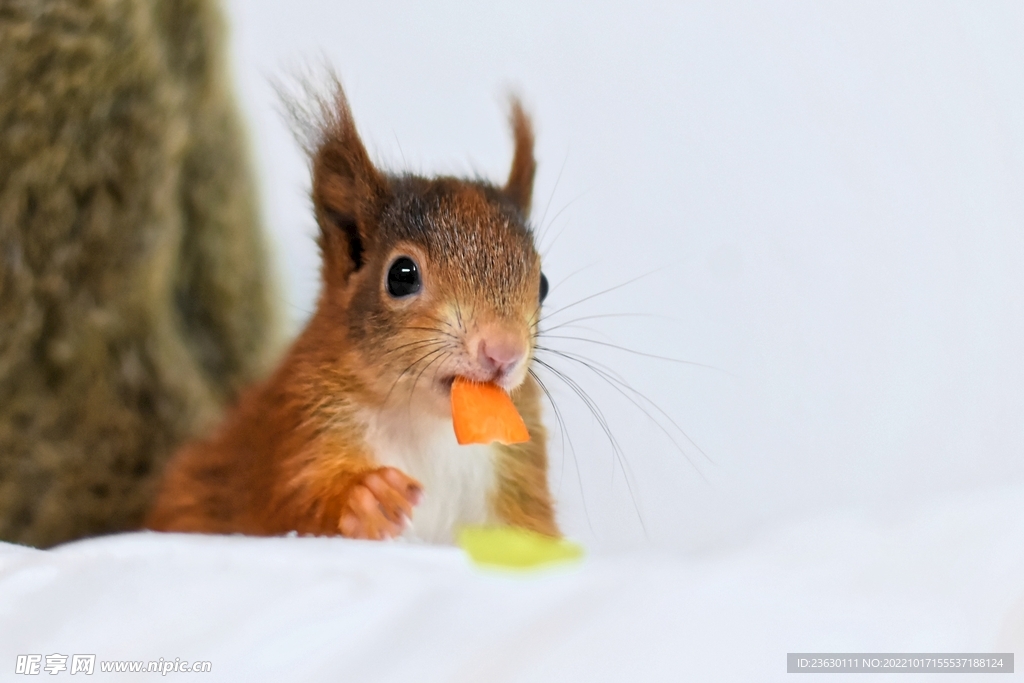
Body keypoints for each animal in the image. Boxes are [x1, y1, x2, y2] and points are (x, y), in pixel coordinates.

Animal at [144, 80, 557, 540]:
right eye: (401, 275)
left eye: (543, 284)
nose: (503, 351)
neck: (422, 420)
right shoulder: (301, 428)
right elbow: (290, 505)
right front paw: (367, 497)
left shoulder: (515, 473)